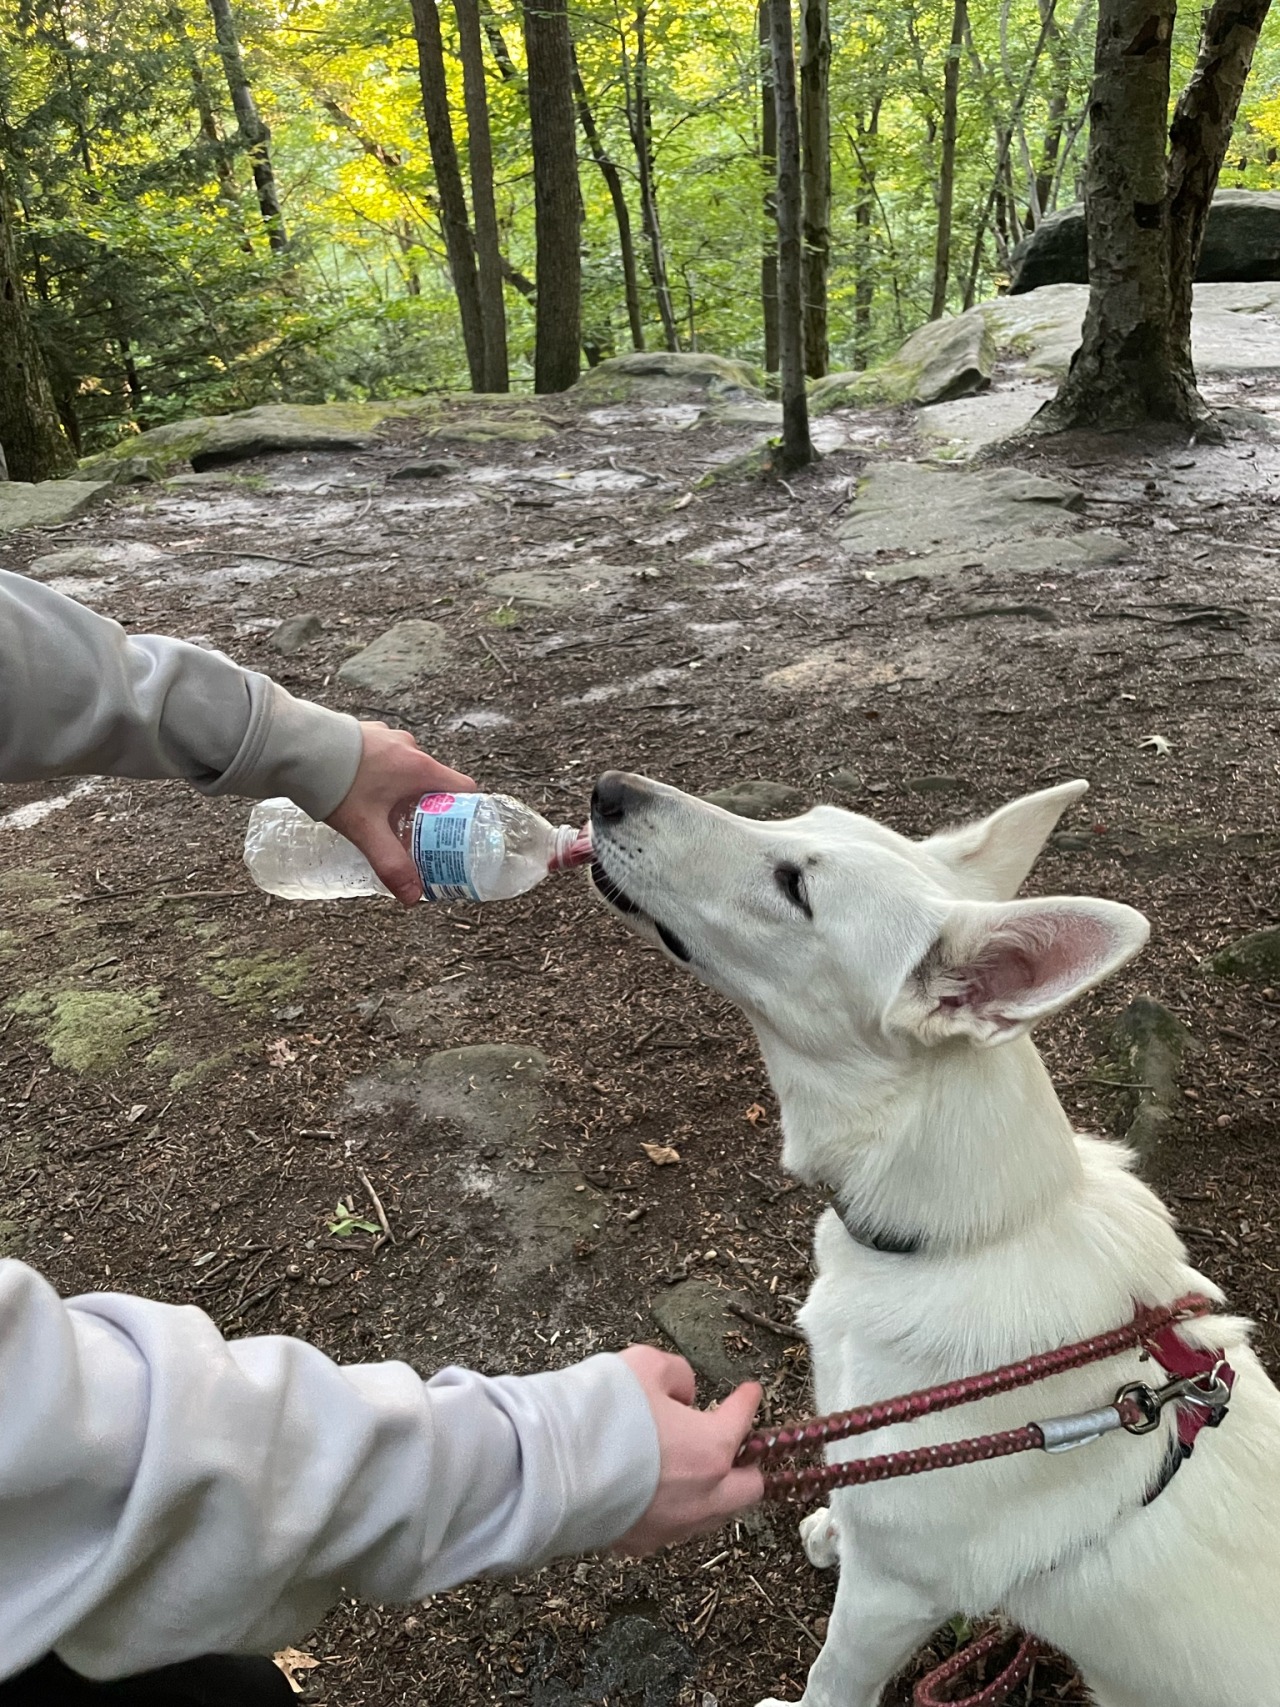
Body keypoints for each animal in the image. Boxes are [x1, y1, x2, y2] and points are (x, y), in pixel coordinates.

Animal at [590, 778, 1280, 1707]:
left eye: (794, 886)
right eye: (796, 817)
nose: (609, 792)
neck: (962, 1240)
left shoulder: (892, 1598)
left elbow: (830, 1677)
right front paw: (831, 1526)